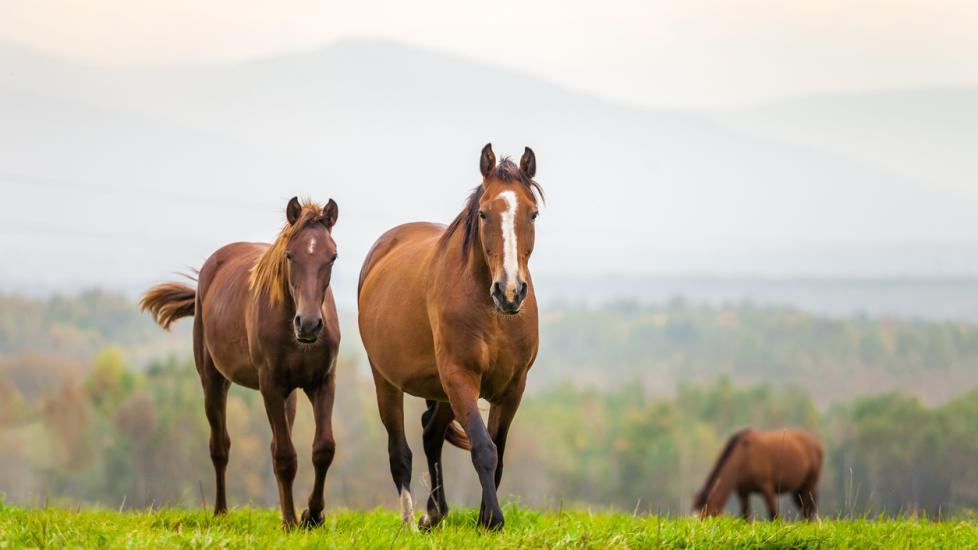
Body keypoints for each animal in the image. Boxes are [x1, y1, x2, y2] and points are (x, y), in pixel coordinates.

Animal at [140, 197, 340, 529]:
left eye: (333, 256)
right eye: (290, 255)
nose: (309, 324)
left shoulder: (322, 382)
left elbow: (322, 449)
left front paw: (311, 515)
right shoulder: (270, 385)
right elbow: (285, 457)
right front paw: (290, 521)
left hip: (289, 394)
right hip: (213, 381)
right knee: (220, 446)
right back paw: (221, 512)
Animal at [357, 144, 543, 531]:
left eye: (532, 214)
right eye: (485, 214)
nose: (510, 291)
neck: (492, 313)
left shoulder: (513, 387)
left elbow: (498, 451)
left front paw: (485, 517)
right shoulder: (460, 377)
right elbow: (483, 448)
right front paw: (493, 520)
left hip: (441, 390)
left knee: (430, 433)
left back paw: (435, 513)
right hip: (387, 381)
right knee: (400, 451)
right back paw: (410, 523)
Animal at [693, 428, 823, 520]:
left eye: (707, 515)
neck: (744, 456)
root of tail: (816, 444)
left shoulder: (767, 488)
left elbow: (773, 514)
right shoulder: (743, 492)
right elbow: (745, 516)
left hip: (810, 484)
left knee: (806, 509)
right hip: (797, 490)